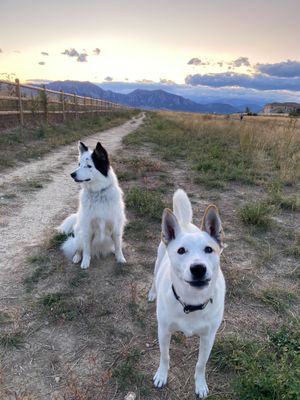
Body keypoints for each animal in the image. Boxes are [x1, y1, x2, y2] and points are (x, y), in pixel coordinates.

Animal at [148, 189, 225, 398]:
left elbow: (201, 364)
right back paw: (152, 293)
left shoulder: (209, 338)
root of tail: (182, 223)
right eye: (181, 250)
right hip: (158, 261)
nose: (198, 268)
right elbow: (165, 356)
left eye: (209, 249)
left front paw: (200, 384)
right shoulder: (164, 331)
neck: (192, 302)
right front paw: (162, 375)